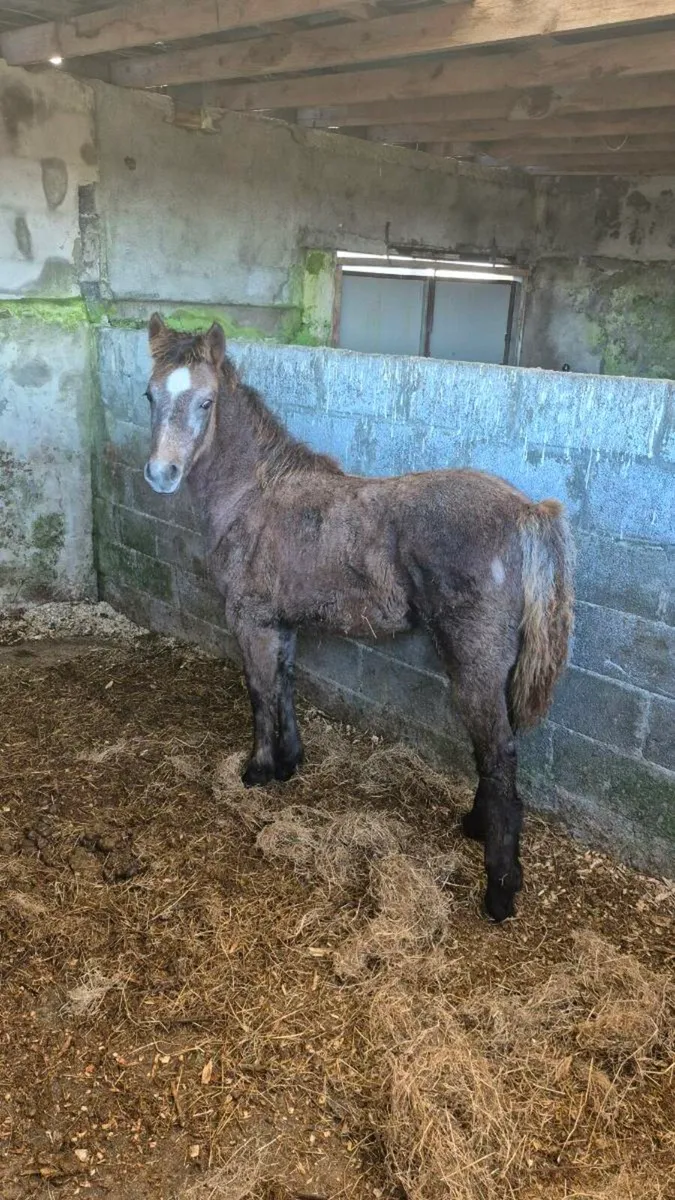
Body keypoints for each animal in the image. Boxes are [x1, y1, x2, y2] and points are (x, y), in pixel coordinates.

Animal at [143, 315, 574, 922]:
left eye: (206, 401)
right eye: (150, 395)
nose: (162, 473)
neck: (257, 494)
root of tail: (526, 512)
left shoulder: (250, 620)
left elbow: (258, 692)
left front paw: (257, 771)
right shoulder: (282, 623)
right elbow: (286, 685)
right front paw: (290, 763)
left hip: (475, 662)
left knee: (499, 754)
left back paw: (500, 890)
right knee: (494, 752)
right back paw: (474, 825)